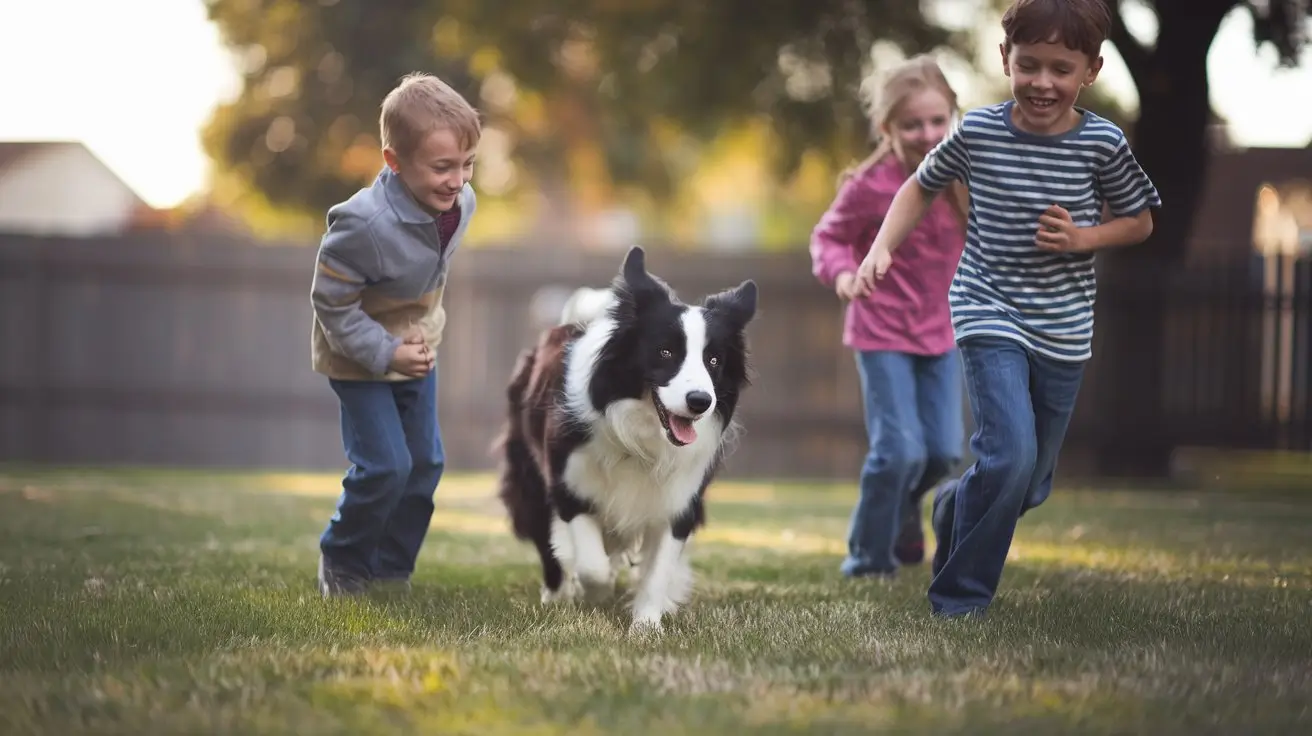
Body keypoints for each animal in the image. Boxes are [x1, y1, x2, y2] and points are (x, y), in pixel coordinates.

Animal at [493, 245, 760, 632]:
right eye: (665, 352)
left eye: (714, 360)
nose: (700, 401)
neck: (640, 433)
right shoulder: (569, 486)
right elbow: (592, 566)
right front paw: (595, 593)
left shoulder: (678, 500)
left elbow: (658, 569)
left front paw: (646, 626)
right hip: (529, 478)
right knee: (546, 537)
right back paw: (557, 594)